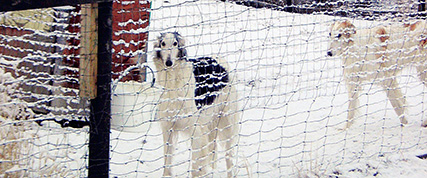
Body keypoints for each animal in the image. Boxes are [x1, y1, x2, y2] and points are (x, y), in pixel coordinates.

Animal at [153, 32, 241, 177]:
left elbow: (195, 168)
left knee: (229, 157)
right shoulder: (168, 128)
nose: (169, 62)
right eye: (163, 43)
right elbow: (167, 164)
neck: (174, 83)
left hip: (227, 121)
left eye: (175, 43)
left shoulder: (196, 131)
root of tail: (220, 59)